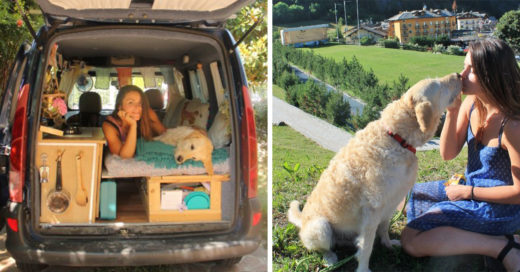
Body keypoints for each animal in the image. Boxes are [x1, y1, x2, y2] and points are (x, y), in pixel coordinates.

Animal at [288, 73, 464, 272]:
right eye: (439, 85)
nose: (458, 74)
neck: (398, 139)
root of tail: (302, 220)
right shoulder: (372, 210)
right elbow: (367, 246)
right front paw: (363, 268)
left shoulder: (391, 202)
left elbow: (384, 227)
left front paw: (387, 243)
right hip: (321, 227)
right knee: (324, 247)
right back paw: (330, 258)